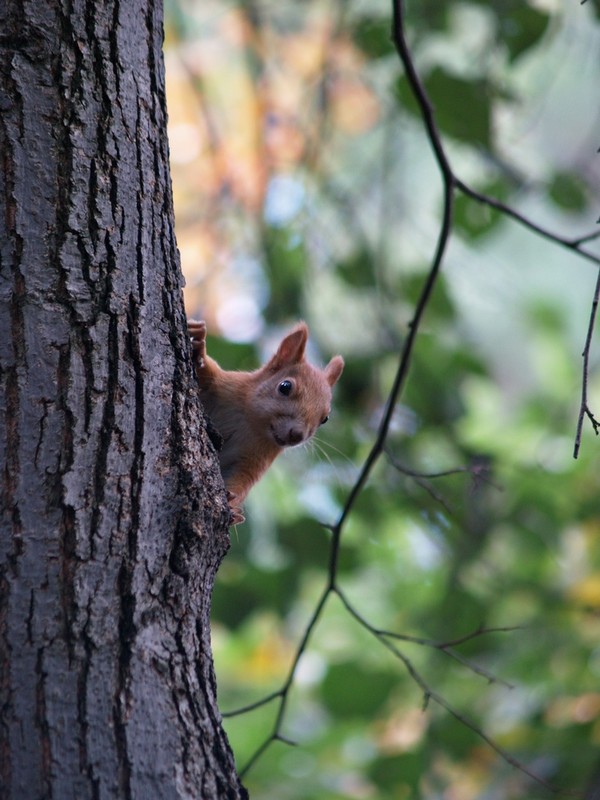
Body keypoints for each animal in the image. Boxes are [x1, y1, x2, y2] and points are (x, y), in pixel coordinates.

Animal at [190, 318, 344, 524]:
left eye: (325, 418)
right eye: (285, 386)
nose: (297, 435)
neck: (250, 424)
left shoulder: (257, 459)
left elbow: (243, 480)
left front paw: (233, 506)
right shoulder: (225, 385)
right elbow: (207, 373)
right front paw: (200, 344)